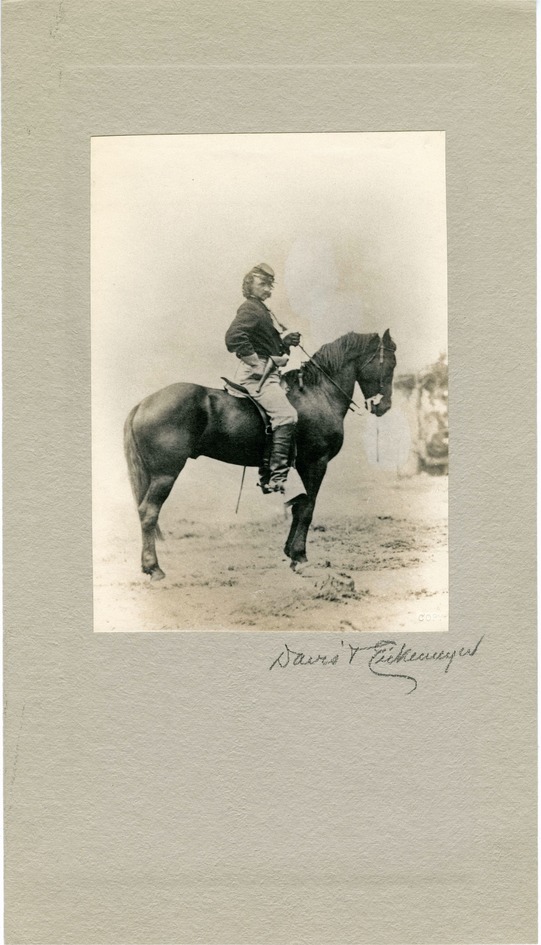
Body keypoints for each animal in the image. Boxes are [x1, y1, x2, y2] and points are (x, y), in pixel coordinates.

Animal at [124, 330, 397, 581]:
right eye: (389, 363)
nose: (384, 407)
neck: (318, 393)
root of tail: (143, 404)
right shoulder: (314, 463)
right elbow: (307, 508)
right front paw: (300, 557)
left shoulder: (300, 466)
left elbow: (298, 507)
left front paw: (290, 553)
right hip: (165, 474)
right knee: (148, 512)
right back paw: (154, 568)